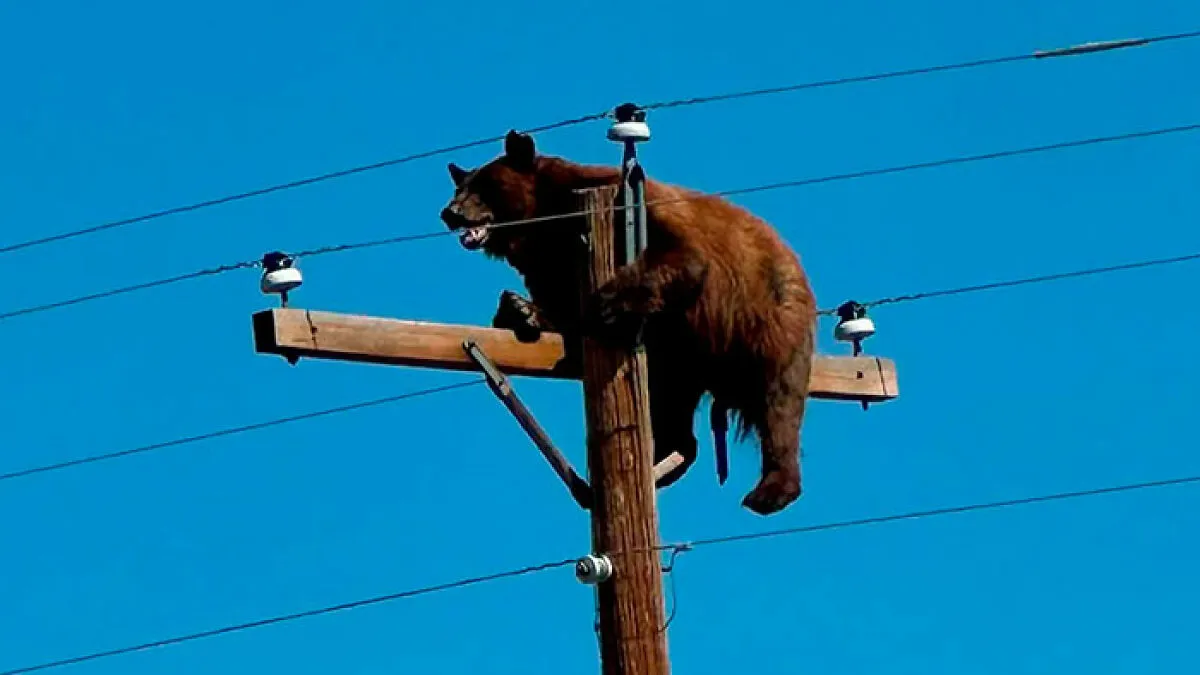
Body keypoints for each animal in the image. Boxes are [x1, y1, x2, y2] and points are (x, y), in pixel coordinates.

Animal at [440, 130, 817, 515]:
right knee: (672, 406)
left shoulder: (630, 207)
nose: (450, 213)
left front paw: (603, 304)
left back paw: (770, 490)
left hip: (767, 315)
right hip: (681, 356)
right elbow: (557, 299)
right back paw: (663, 459)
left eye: (485, 185)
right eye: (460, 186)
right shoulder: (550, 258)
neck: (543, 221)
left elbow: (681, 254)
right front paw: (520, 310)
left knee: (778, 399)